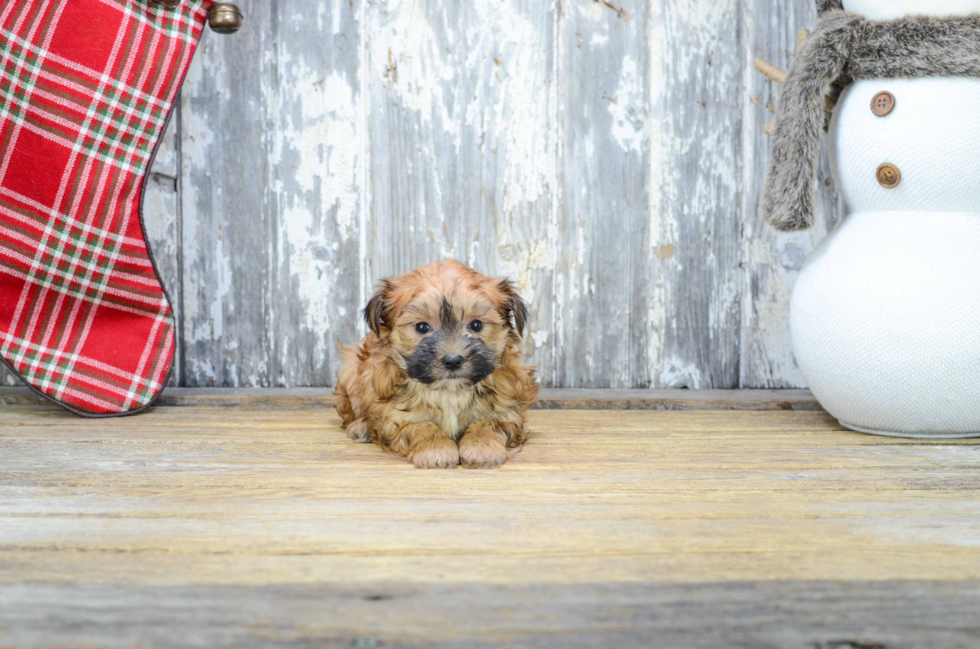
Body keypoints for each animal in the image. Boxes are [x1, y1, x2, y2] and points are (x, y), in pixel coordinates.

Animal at [334, 260, 536, 468]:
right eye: (422, 327)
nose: (453, 360)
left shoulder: (508, 412)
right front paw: (436, 448)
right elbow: (420, 425)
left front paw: (482, 446)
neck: (450, 392)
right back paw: (361, 427)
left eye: (476, 325)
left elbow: (488, 423)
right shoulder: (394, 418)